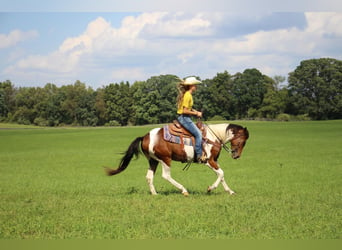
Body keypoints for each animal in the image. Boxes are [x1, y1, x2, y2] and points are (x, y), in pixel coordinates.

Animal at [104, 122, 248, 196]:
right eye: (243, 141)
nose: (236, 155)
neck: (213, 136)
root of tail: (145, 137)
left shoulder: (215, 161)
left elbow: (221, 175)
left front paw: (230, 191)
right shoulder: (209, 161)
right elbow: (221, 173)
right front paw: (210, 188)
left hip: (153, 161)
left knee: (149, 177)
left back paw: (155, 194)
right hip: (165, 159)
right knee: (166, 176)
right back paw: (184, 190)